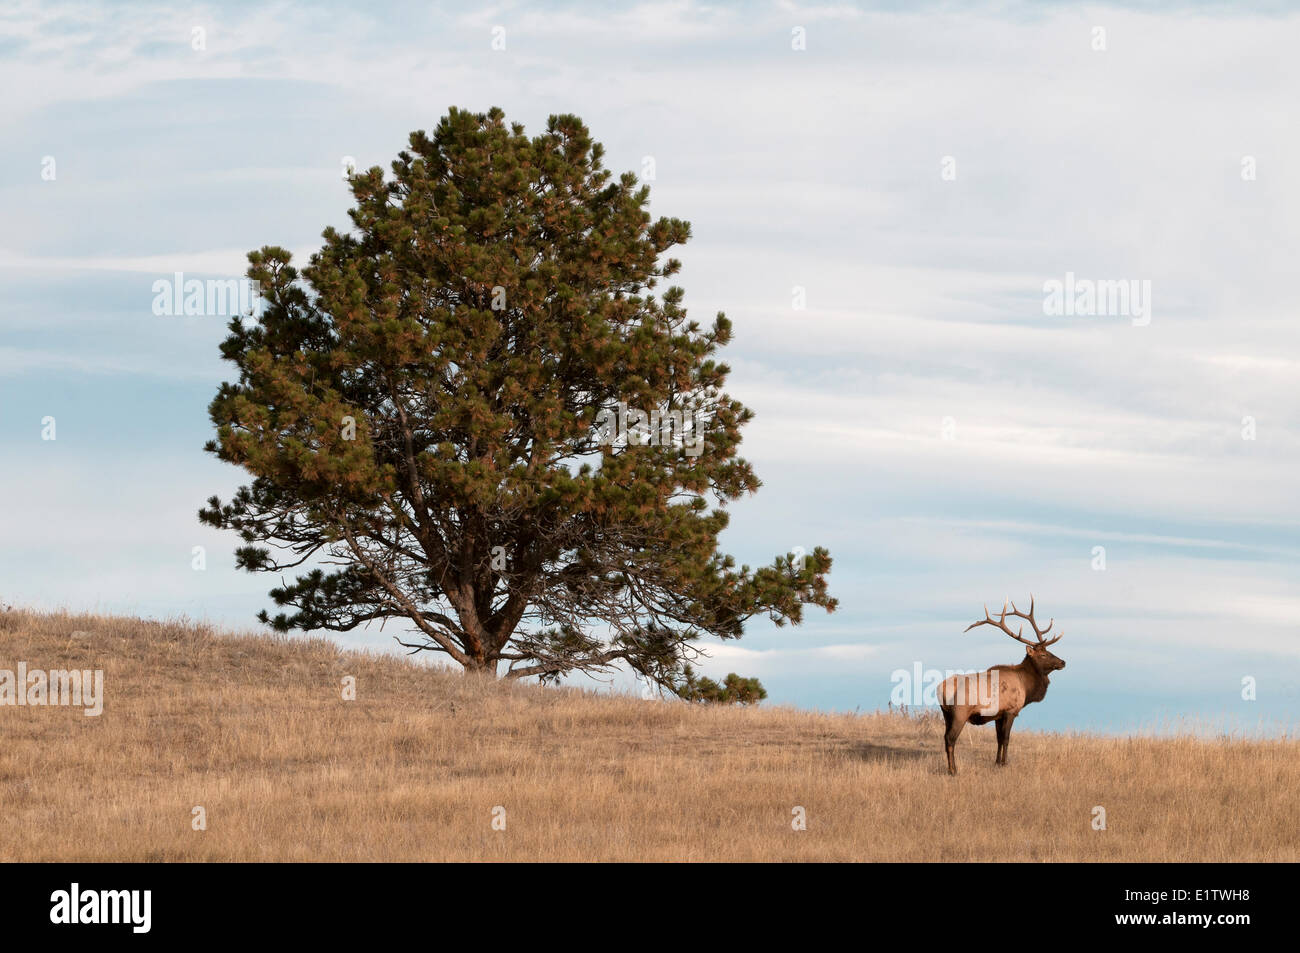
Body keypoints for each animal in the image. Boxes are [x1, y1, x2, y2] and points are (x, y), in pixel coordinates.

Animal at [946, 598, 1066, 774]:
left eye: (1049, 651)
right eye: (1043, 654)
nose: (1063, 662)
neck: (1026, 686)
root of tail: (940, 688)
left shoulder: (998, 715)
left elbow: (999, 739)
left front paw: (997, 762)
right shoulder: (1011, 710)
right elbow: (1007, 738)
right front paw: (1004, 763)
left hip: (946, 714)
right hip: (959, 713)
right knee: (950, 739)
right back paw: (953, 770)